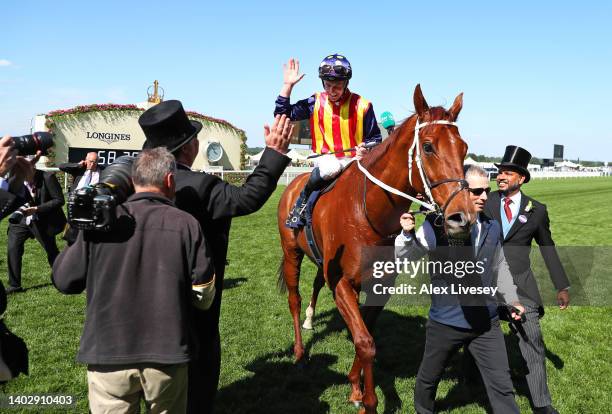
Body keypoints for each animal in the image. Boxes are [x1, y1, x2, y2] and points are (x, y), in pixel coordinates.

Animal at [278, 85, 474, 414]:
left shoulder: (380, 283)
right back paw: (299, 352)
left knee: (316, 284)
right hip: (292, 251)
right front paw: (368, 401)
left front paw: (355, 386)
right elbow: (366, 343)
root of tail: (295, 184)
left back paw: (309, 318)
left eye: (464, 147)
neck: (367, 210)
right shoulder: (342, 283)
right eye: (429, 147)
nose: (462, 217)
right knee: (294, 298)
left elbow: (365, 333)